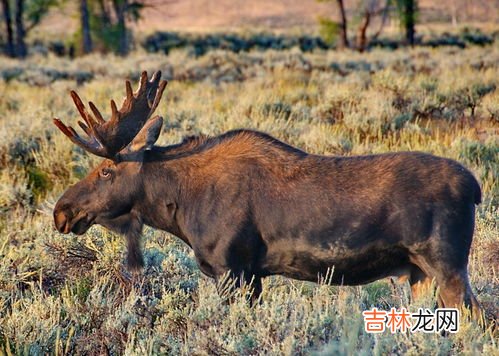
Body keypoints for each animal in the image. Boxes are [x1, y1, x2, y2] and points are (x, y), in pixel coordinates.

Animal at [53, 71, 484, 318]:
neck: (180, 208)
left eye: (105, 170)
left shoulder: (232, 268)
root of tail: (475, 188)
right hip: (418, 272)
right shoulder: (252, 274)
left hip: (445, 264)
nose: (62, 210)